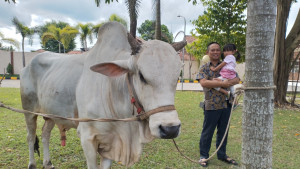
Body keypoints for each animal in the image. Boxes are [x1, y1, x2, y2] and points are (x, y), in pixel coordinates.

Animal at [20, 21, 185, 169]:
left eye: (177, 77)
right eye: (142, 76)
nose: (170, 129)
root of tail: (27, 65)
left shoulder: (111, 143)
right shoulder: (87, 137)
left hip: (51, 114)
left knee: (45, 134)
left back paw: (47, 163)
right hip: (29, 111)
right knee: (30, 136)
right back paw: (32, 164)